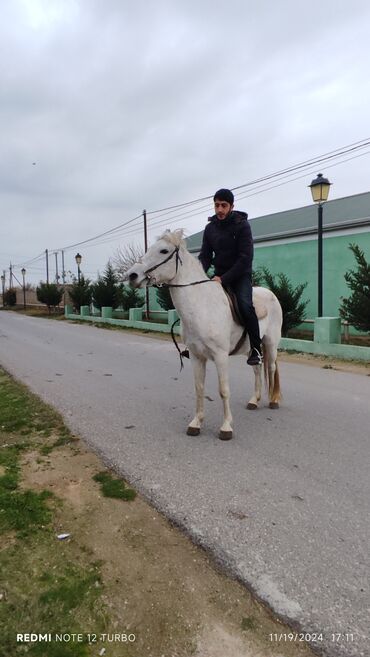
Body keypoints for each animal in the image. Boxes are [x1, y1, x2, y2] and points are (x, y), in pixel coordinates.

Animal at [127, 228, 280, 438]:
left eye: (164, 251)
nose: (131, 275)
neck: (203, 306)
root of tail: (270, 294)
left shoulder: (221, 356)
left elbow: (223, 390)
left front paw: (226, 427)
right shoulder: (197, 356)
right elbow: (199, 388)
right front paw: (196, 423)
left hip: (271, 344)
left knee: (271, 368)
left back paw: (272, 400)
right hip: (252, 349)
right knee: (257, 369)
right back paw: (254, 401)